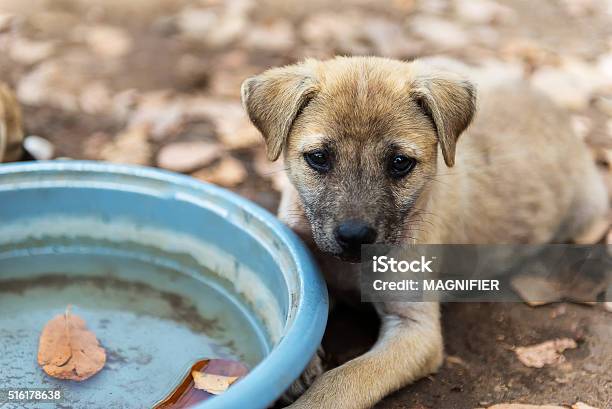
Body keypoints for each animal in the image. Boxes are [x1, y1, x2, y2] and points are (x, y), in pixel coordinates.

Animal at [239, 57, 608, 408]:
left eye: (400, 163)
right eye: (318, 157)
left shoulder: (416, 331)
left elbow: (343, 381)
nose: (354, 236)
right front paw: (298, 369)